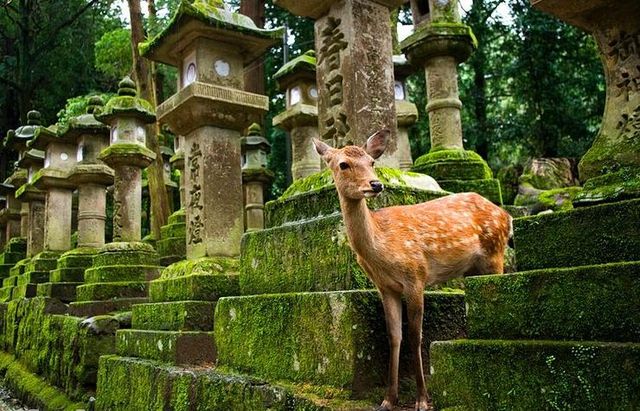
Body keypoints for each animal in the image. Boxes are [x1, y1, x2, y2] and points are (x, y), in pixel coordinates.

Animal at [312, 131, 512, 411]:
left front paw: (422, 400)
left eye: (372, 162)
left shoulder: (415, 275)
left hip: (495, 255)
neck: (381, 248)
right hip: (474, 269)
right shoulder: (385, 287)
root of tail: (507, 216)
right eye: (343, 164)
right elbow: (394, 336)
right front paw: (388, 399)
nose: (376, 184)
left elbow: (415, 336)